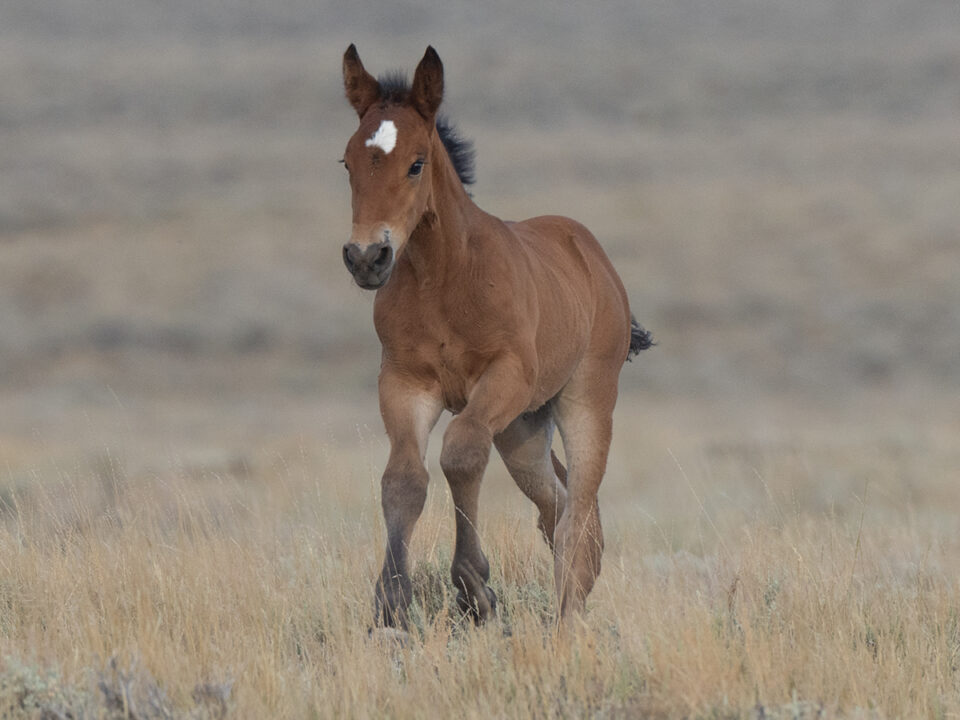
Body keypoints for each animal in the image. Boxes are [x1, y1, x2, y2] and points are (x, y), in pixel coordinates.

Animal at [340, 46, 652, 632]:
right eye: (347, 162)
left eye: (416, 162)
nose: (368, 258)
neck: (444, 280)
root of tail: (592, 256)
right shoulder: (404, 382)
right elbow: (403, 479)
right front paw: (391, 601)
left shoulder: (505, 376)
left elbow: (461, 453)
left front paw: (474, 587)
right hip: (522, 428)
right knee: (555, 504)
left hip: (583, 400)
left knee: (577, 508)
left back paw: (568, 615)